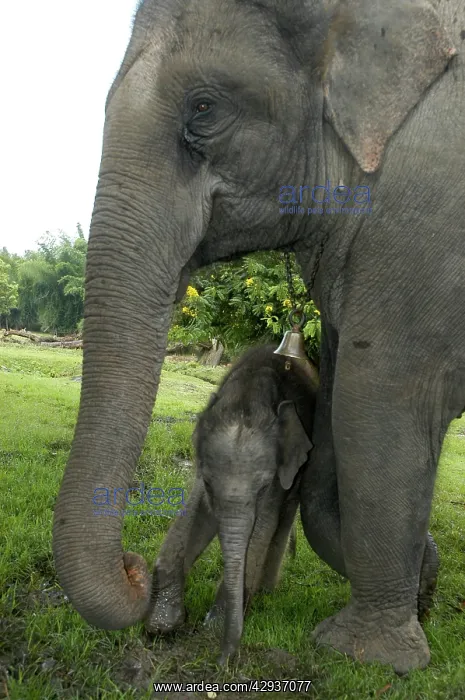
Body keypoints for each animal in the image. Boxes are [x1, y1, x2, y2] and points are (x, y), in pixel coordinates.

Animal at [146, 344, 317, 662]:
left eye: (263, 487)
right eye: (209, 483)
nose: (223, 660)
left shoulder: (282, 471)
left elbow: (263, 525)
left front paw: (212, 628)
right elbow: (197, 511)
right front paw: (162, 625)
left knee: (284, 518)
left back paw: (266, 593)